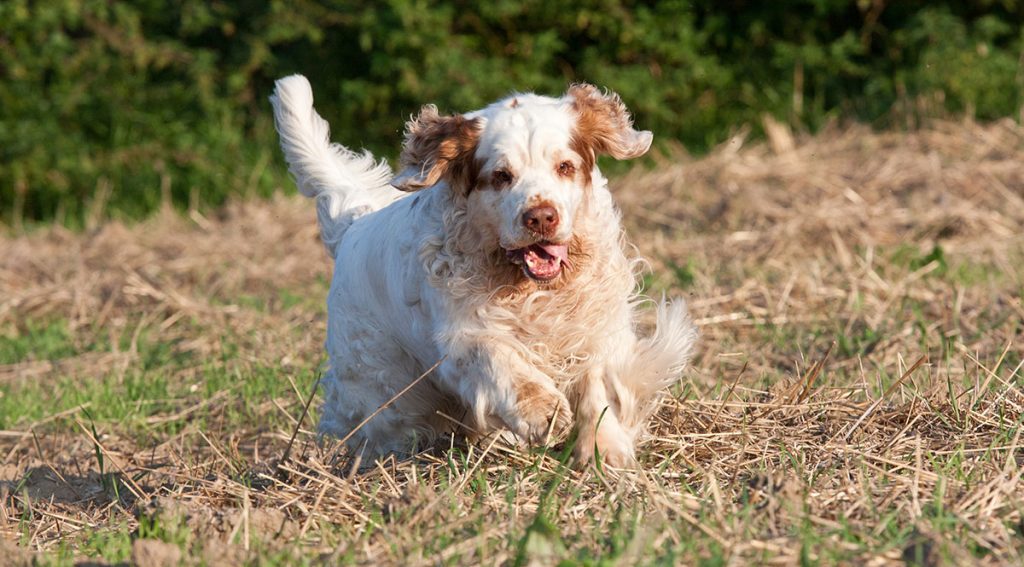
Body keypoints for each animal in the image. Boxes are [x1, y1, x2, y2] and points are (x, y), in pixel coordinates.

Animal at [270, 75, 696, 462]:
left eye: (565, 166)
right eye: (501, 176)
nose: (541, 217)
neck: (533, 290)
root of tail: (353, 224)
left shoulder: (595, 328)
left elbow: (599, 387)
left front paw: (603, 453)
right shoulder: (459, 337)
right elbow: (497, 358)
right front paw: (542, 411)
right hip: (383, 387)